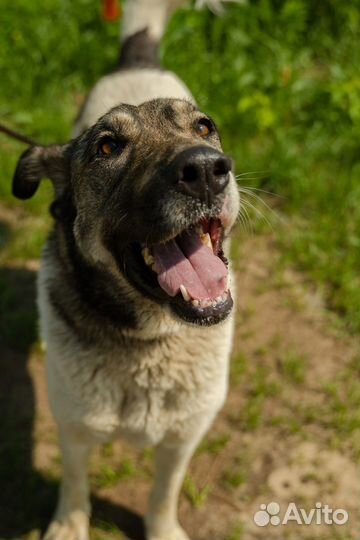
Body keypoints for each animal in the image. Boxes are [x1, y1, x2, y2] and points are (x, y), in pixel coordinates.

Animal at [12, 1, 240, 540]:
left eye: (204, 128)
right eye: (107, 147)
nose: (206, 169)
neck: (150, 343)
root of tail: (138, 56)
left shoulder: (183, 438)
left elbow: (164, 494)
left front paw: (163, 530)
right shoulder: (73, 428)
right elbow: (74, 484)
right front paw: (68, 527)